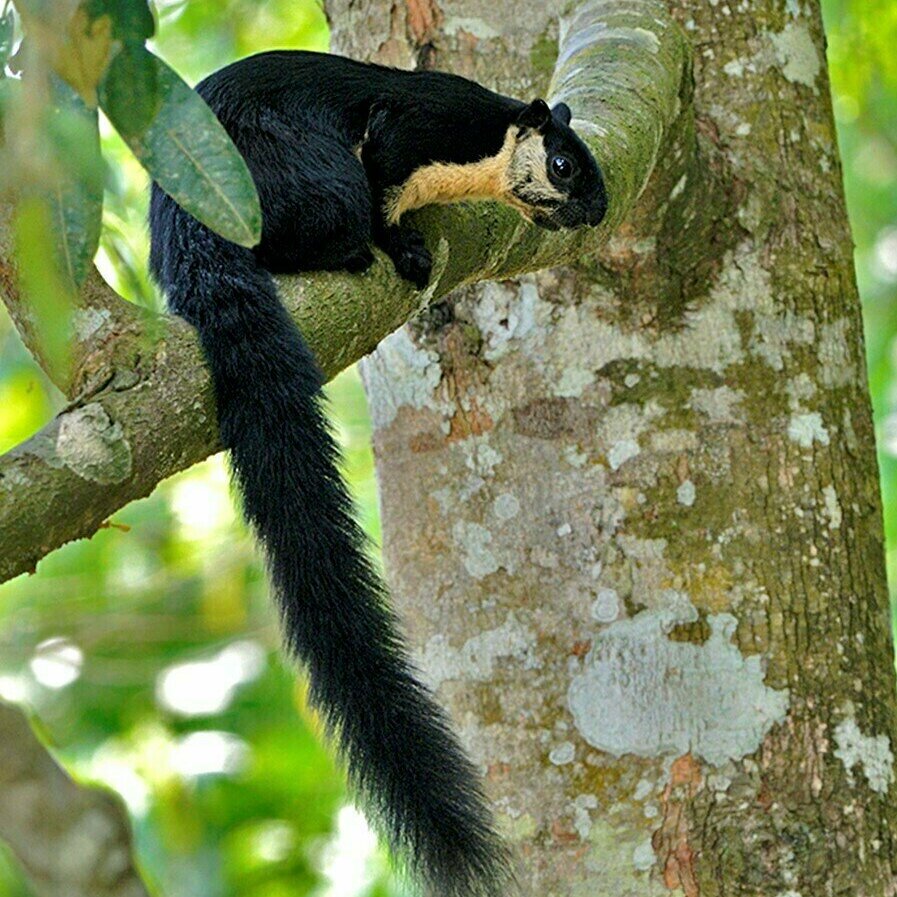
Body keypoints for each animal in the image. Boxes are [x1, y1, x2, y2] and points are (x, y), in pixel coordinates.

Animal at [149, 49, 607, 897]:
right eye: (564, 165)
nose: (594, 211)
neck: (477, 155)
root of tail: (179, 228)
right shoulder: (418, 127)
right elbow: (389, 171)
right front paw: (405, 243)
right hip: (308, 181)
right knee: (313, 226)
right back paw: (355, 250)